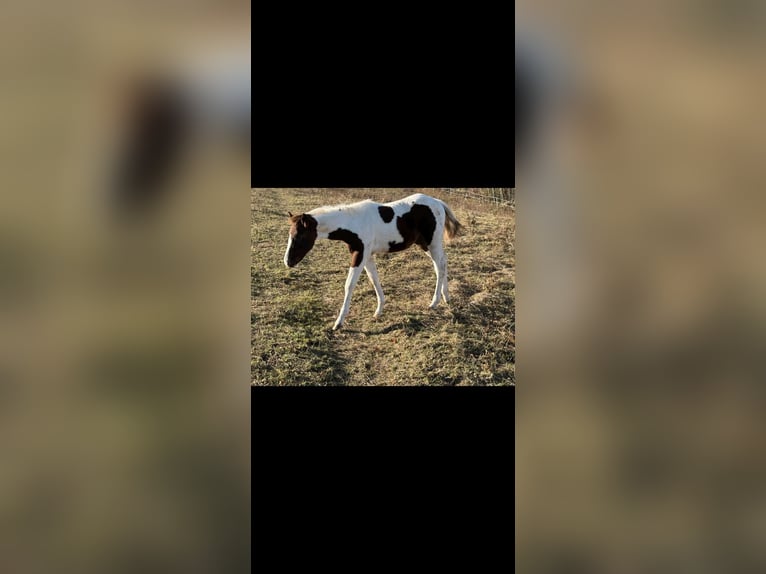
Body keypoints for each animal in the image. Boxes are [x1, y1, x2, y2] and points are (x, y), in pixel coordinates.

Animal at [284, 193, 463, 330]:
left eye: (299, 237)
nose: (288, 262)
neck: (354, 222)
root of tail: (438, 202)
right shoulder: (368, 256)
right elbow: (374, 279)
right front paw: (379, 310)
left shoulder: (360, 255)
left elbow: (349, 285)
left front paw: (338, 323)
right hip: (425, 244)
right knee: (441, 264)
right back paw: (446, 297)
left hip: (432, 242)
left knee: (440, 266)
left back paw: (434, 302)